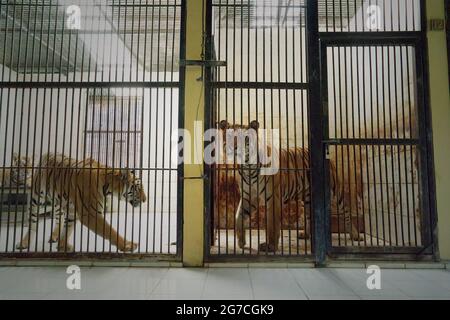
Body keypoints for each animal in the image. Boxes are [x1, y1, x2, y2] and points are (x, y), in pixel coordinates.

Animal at [15, 153, 146, 252]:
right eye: (138, 187)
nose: (145, 200)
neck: (108, 187)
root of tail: (49, 154)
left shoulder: (77, 211)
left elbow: (68, 228)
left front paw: (62, 246)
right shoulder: (90, 213)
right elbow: (110, 231)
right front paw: (127, 246)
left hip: (62, 204)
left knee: (60, 218)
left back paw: (57, 239)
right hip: (36, 199)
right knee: (32, 223)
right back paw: (23, 243)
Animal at [218, 120, 362, 252]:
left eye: (245, 138)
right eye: (229, 137)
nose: (234, 148)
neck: (247, 167)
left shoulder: (273, 198)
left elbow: (272, 224)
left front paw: (270, 246)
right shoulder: (249, 197)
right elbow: (238, 217)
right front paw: (241, 242)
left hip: (335, 192)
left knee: (346, 211)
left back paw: (355, 235)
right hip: (307, 197)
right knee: (310, 215)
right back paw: (306, 235)